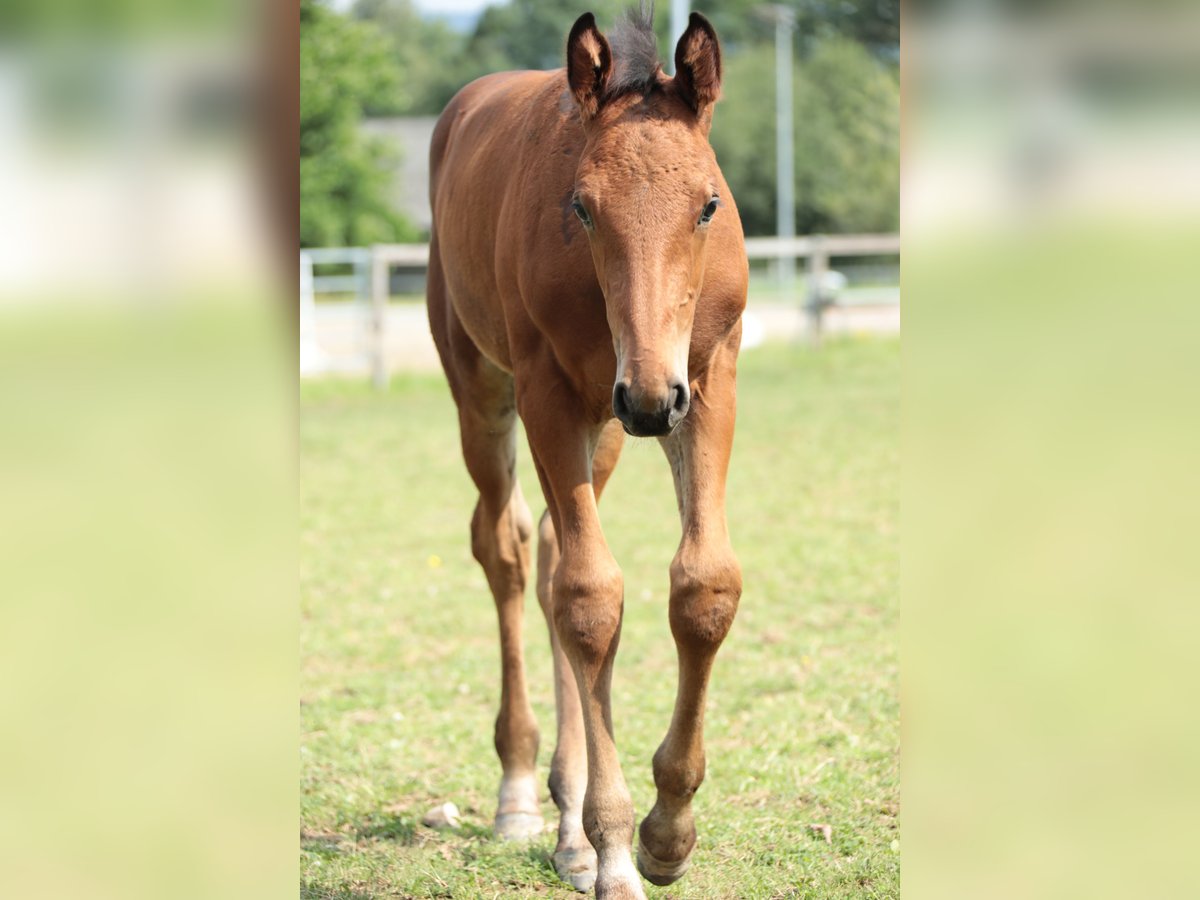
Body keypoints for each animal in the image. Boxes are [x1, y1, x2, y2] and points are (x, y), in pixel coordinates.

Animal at [427, 7, 744, 900]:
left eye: (708, 204)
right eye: (582, 206)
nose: (648, 400)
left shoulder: (704, 380)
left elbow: (704, 586)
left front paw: (667, 835)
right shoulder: (550, 395)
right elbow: (590, 598)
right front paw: (617, 848)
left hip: (604, 429)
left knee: (545, 556)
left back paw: (568, 827)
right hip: (490, 390)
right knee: (507, 550)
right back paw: (523, 796)